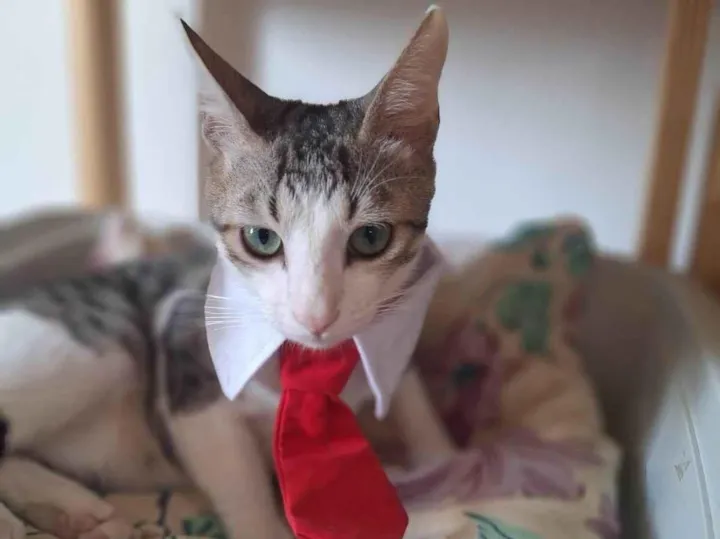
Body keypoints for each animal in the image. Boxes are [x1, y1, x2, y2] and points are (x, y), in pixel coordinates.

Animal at [0, 7, 452, 539]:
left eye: (371, 238)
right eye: (262, 239)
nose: (315, 315)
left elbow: (413, 396)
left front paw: (446, 458)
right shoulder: (185, 342)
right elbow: (237, 476)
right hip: (91, 345)